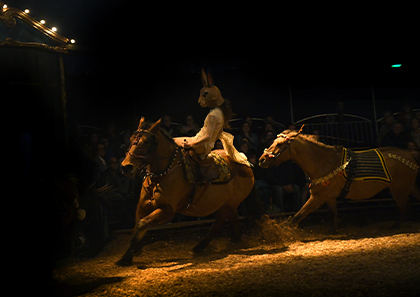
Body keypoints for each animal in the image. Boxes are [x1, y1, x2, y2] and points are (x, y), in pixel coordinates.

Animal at [115, 118, 254, 266]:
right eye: (131, 140)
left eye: (145, 142)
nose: (126, 167)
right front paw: (126, 257)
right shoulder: (141, 207)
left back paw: (201, 246)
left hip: (228, 204)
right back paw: (234, 240)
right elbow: (137, 226)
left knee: (219, 221)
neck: (160, 177)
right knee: (232, 217)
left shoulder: (167, 211)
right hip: (229, 204)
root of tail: (245, 163)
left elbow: (142, 224)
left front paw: (135, 248)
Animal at [260, 128, 420, 228]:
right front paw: (334, 230)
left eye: (280, 144)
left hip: (399, 190)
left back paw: (396, 225)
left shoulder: (317, 197)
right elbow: (333, 214)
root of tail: (410, 155)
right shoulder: (329, 197)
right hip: (408, 187)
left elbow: (297, 216)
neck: (323, 161)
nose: (262, 160)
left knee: (405, 207)